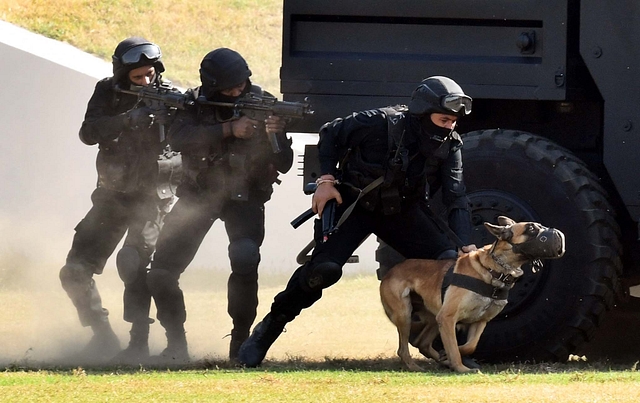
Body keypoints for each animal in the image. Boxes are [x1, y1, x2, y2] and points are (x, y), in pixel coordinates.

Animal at [380, 216, 564, 374]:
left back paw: (440, 360)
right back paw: (414, 367)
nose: (560, 235)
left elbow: (469, 346)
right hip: (406, 315)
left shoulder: (480, 321)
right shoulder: (448, 317)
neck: (494, 271)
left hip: (434, 317)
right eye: (531, 228)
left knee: (422, 343)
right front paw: (461, 367)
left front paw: (450, 356)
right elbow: (454, 347)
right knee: (403, 349)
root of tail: (390, 273)